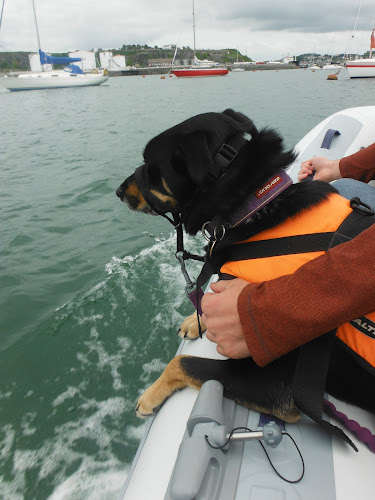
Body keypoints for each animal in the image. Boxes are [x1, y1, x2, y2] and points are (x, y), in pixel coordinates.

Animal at [117, 107, 375, 440]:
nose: (117, 191)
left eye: (150, 167)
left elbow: (182, 361)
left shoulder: (277, 387)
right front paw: (195, 321)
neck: (253, 206)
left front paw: (150, 396)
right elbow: (207, 302)